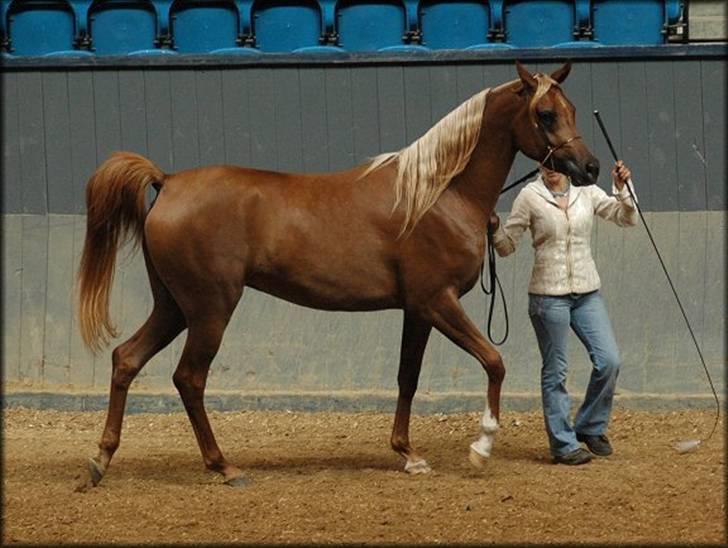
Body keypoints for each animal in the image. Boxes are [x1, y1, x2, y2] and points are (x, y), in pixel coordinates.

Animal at [75, 61, 596, 488]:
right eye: (545, 114)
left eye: (571, 108)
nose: (588, 167)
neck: (437, 194)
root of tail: (169, 182)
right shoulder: (438, 301)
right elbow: (493, 361)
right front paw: (482, 447)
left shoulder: (417, 310)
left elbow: (408, 377)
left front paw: (408, 455)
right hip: (209, 310)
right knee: (189, 378)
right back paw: (223, 466)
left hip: (173, 307)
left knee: (126, 359)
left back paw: (101, 460)